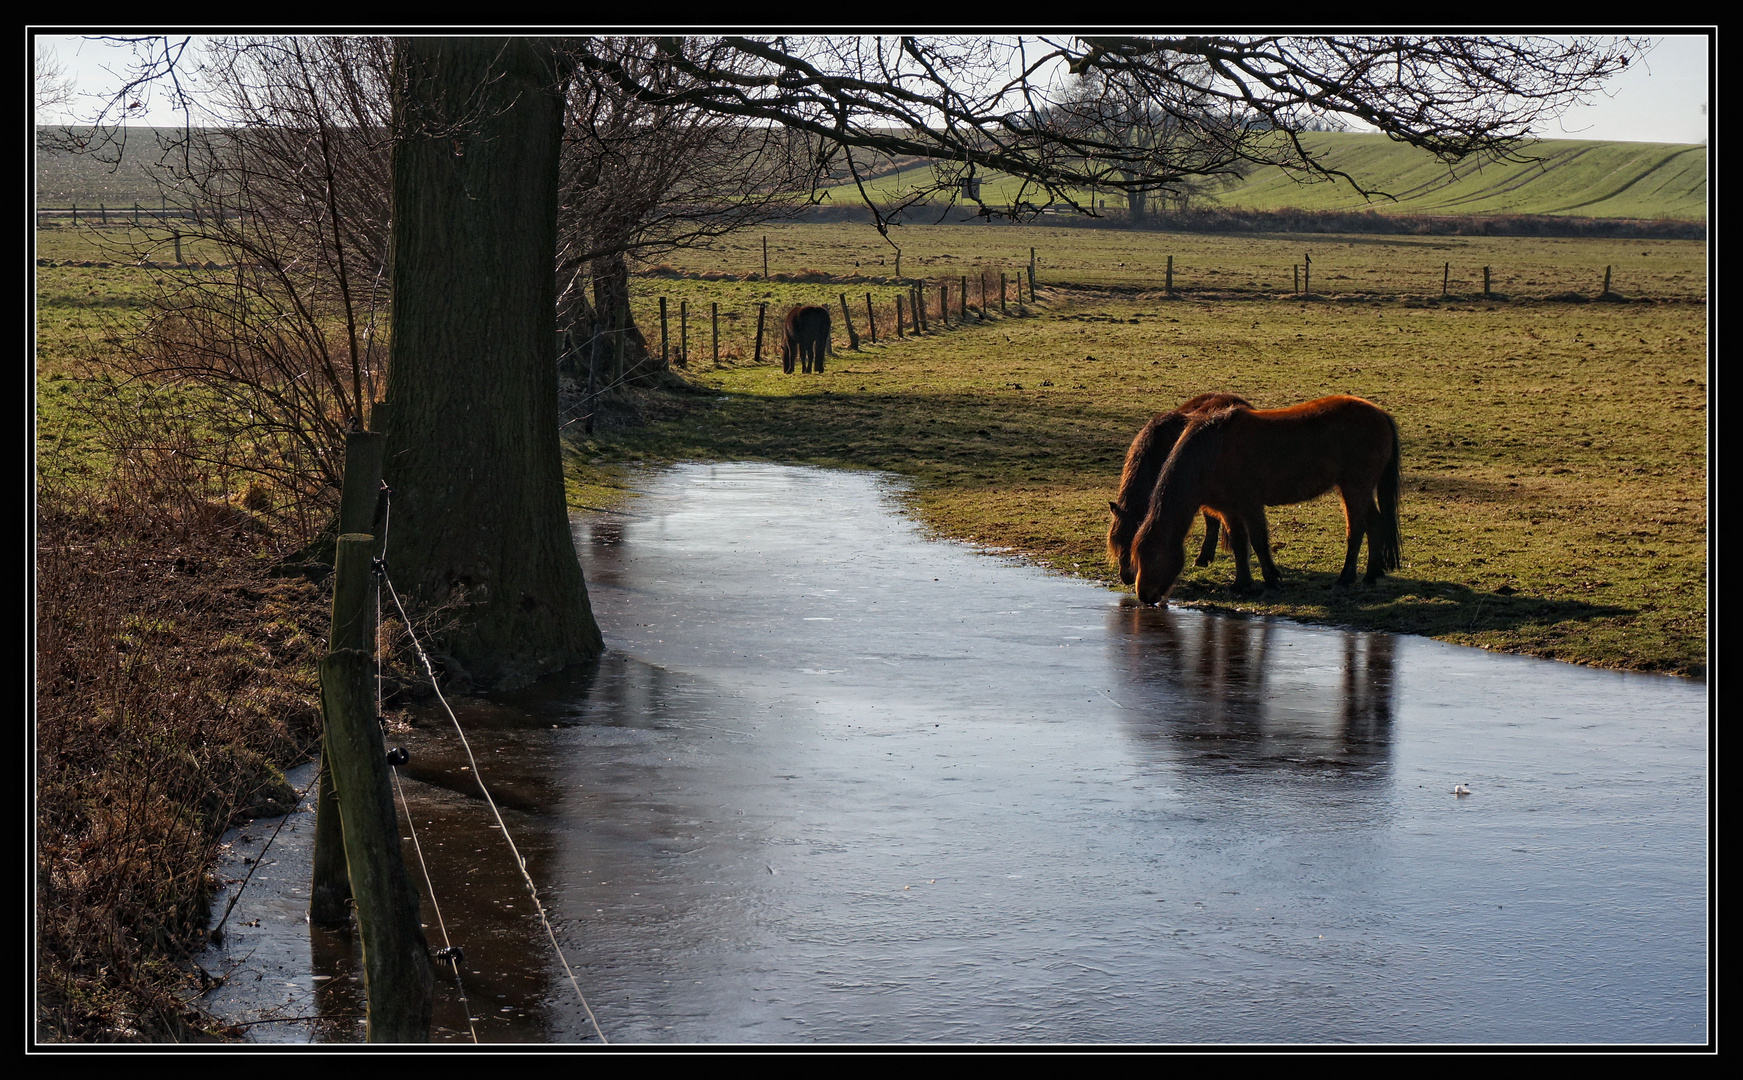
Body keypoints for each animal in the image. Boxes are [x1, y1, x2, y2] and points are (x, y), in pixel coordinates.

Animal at [1129, 391, 1401, 602]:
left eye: (1154, 555)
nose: (1144, 595)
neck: (1211, 453)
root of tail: (1381, 414)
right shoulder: (1229, 509)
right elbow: (1239, 543)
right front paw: (1241, 584)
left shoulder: (1250, 505)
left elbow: (1259, 541)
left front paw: (1270, 581)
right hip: (1359, 490)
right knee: (1375, 523)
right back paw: (1371, 575)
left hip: (1354, 488)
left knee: (1356, 529)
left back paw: (1345, 579)